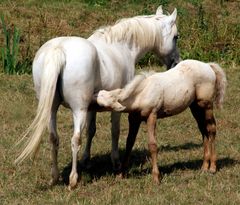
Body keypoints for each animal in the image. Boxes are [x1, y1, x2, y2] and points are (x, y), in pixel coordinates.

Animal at [15, 5, 179, 190]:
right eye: (176, 37)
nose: (175, 63)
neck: (121, 46)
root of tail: (59, 50)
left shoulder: (91, 107)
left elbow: (91, 131)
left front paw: (86, 161)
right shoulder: (116, 105)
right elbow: (114, 131)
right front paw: (115, 162)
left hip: (52, 109)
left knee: (53, 138)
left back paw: (55, 177)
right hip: (78, 110)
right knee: (75, 139)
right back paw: (73, 179)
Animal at [94, 59, 226, 184]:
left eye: (101, 104)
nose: (89, 100)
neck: (142, 93)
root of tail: (208, 65)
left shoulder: (152, 116)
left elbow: (152, 145)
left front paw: (156, 177)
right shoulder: (134, 119)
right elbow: (129, 143)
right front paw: (121, 174)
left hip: (206, 105)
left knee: (211, 129)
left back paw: (212, 167)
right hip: (195, 107)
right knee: (203, 130)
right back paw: (204, 166)